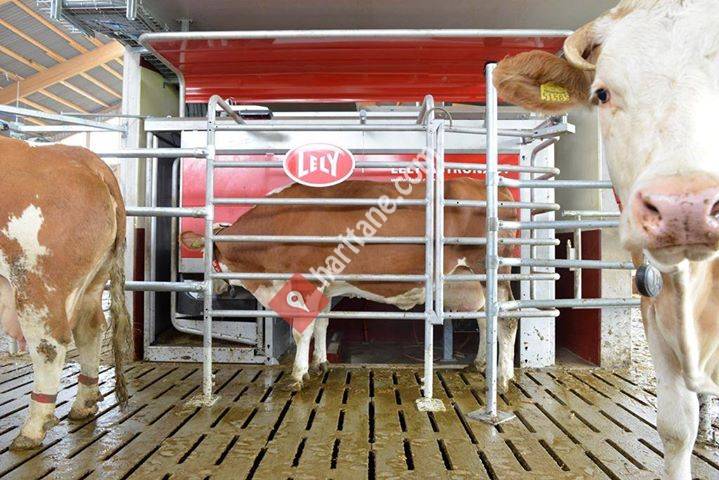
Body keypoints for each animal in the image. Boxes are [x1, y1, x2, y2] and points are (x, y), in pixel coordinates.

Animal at [0, 136, 131, 450]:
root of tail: (84, 158)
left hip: (36, 283)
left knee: (49, 344)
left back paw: (32, 428)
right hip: (94, 280)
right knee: (90, 329)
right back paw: (84, 404)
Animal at [181, 176, 519, 392]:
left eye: (207, 256)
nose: (217, 289)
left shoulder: (307, 280)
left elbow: (302, 328)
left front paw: (298, 375)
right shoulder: (326, 287)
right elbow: (322, 323)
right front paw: (320, 363)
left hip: (492, 271)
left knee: (507, 318)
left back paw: (503, 379)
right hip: (469, 280)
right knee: (485, 319)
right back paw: (480, 364)